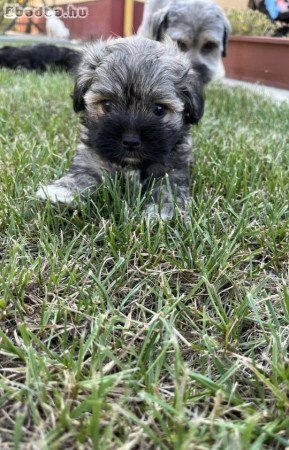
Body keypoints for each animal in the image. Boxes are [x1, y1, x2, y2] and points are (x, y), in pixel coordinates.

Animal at [37, 36, 204, 219]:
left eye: (159, 109)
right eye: (107, 105)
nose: (131, 141)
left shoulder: (172, 169)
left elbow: (169, 188)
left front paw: (165, 210)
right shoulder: (92, 158)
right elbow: (83, 173)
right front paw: (63, 192)